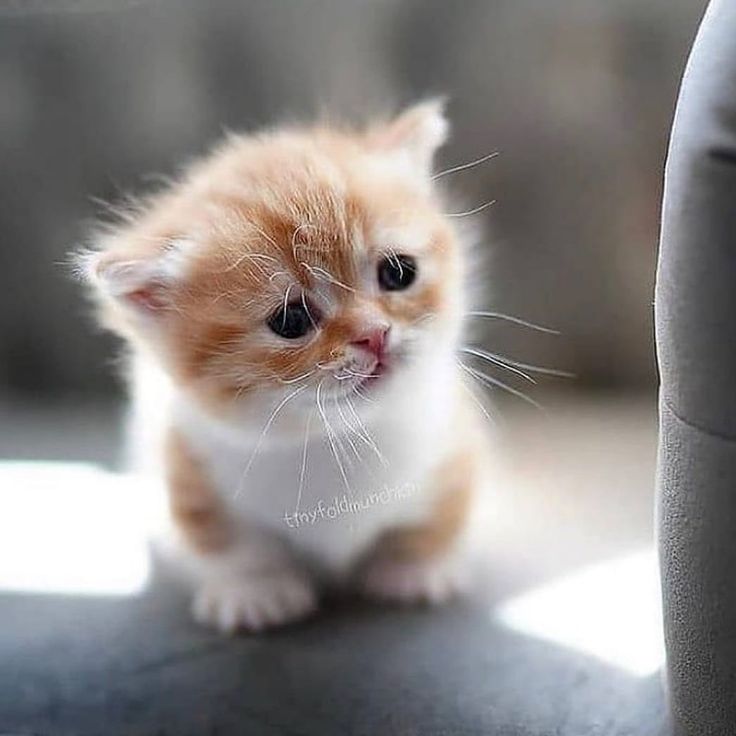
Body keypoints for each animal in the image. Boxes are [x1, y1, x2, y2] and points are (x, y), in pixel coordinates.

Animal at [80, 99, 494, 632]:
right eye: (291, 319)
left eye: (399, 272)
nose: (375, 335)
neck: (336, 440)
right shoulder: (188, 462)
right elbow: (226, 540)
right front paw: (255, 591)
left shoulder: (452, 440)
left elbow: (439, 514)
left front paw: (414, 570)